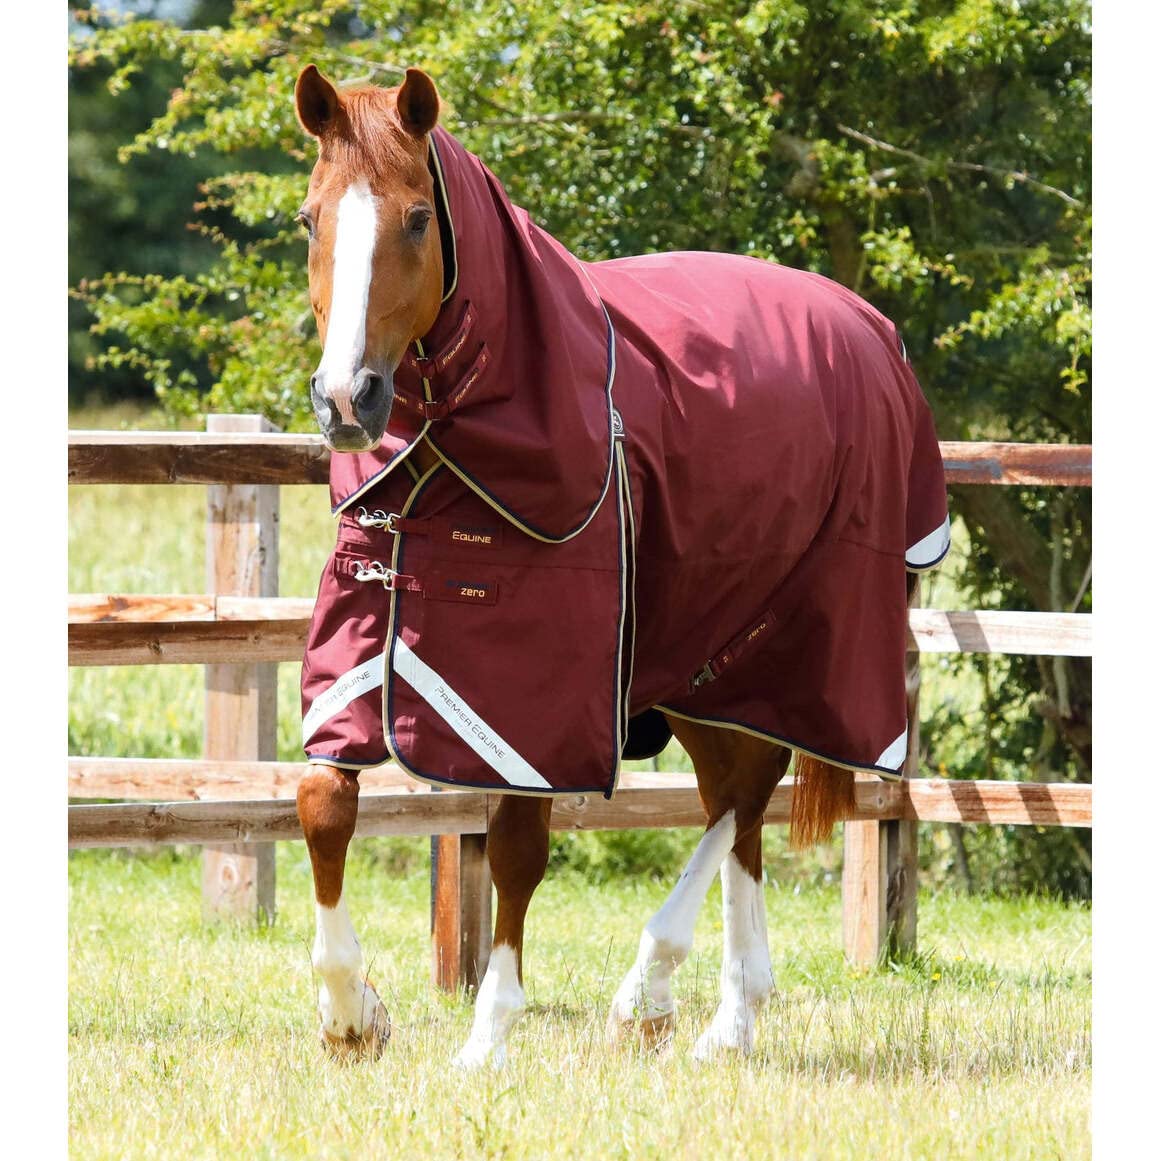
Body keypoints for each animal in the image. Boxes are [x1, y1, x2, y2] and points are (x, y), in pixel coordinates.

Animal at [291, 65, 949, 1068]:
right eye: (309, 218)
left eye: (416, 218)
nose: (345, 400)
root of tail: (871, 330)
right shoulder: (365, 648)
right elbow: (322, 800)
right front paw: (350, 1014)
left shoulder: (533, 702)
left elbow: (518, 845)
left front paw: (487, 1035)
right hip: (698, 658)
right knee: (734, 800)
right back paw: (730, 1011)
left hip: (792, 640)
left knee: (743, 792)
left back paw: (659, 990)